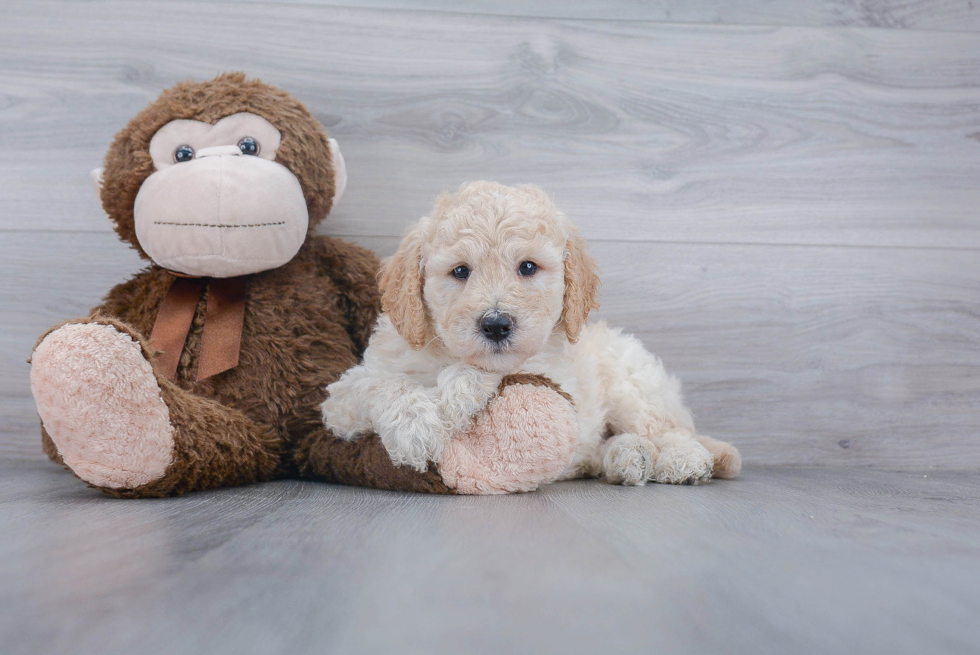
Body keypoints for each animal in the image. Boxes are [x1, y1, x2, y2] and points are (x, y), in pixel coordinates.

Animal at [324, 182, 744, 484]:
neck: (448, 353)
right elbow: (378, 384)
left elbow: (496, 370)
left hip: (633, 383)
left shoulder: (555, 374)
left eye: (527, 267)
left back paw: (682, 460)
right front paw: (416, 426)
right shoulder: (340, 402)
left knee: (669, 429)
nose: (495, 325)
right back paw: (626, 457)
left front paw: (456, 392)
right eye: (460, 271)